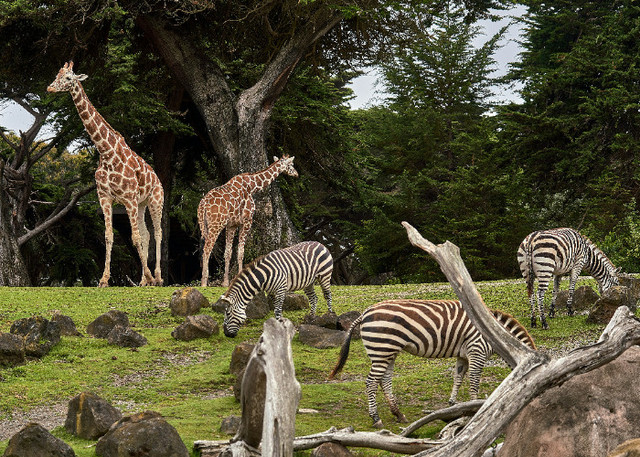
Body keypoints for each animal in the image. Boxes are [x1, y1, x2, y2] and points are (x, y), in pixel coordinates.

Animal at [49, 62, 165, 286]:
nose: (50, 88)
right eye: (57, 74)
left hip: (155, 200)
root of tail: (157, 178)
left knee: (157, 232)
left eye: (68, 78)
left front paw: (149, 276)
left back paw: (157, 277)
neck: (105, 152)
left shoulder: (128, 198)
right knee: (146, 233)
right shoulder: (105, 197)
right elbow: (109, 236)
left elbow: (135, 238)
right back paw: (143, 281)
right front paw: (103, 279)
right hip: (141, 204)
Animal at [199, 155, 298, 286]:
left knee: (204, 248)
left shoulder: (232, 225)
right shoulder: (247, 221)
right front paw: (240, 277)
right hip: (216, 225)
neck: (252, 186)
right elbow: (241, 252)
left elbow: (228, 253)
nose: (296, 174)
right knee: (207, 249)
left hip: (205, 225)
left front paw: (225, 282)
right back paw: (204, 282)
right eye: (291, 164)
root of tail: (203, 205)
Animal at [328, 300, 532, 428]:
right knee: (371, 382)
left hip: (387, 352)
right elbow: (474, 381)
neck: (496, 335)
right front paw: (476, 407)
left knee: (384, 381)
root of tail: (365, 312)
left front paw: (453, 403)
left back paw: (398, 414)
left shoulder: (464, 355)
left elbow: (458, 377)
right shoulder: (477, 350)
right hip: (382, 348)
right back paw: (376, 418)